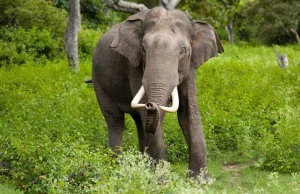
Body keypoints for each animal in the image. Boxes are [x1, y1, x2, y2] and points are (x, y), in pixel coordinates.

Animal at [92, 6, 224, 178]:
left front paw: (200, 181)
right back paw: (118, 171)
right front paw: (160, 180)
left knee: (139, 122)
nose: (151, 105)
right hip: (99, 82)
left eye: (183, 51)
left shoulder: (190, 66)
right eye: (143, 49)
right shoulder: (134, 65)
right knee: (115, 120)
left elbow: (188, 112)